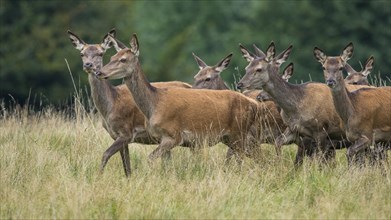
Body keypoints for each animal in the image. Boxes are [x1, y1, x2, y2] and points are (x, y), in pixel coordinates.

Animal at [68, 29, 192, 177]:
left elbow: (106, 154)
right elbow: (126, 165)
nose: (88, 65)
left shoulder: (126, 132)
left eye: (101, 53)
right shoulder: (116, 135)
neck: (110, 106)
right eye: (82, 53)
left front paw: (98, 176)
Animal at [94, 33, 260, 162]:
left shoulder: (173, 135)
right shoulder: (161, 138)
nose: (99, 72)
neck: (154, 104)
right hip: (231, 137)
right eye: (112, 56)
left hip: (240, 133)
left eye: (123, 59)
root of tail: (253, 105)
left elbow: (150, 159)